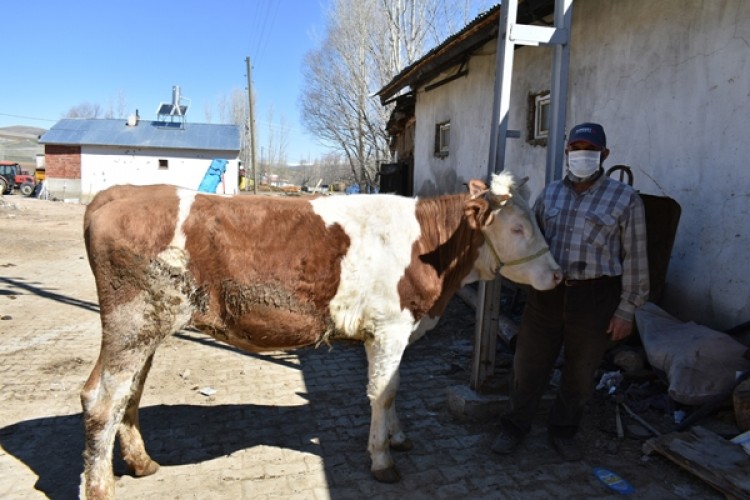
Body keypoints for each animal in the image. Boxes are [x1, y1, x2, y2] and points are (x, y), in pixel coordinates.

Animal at [82, 172, 564, 496]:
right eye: (518, 227)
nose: (559, 275)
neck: (429, 251)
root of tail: (120, 192)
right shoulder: (389, 328)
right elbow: (384, 392)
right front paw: (382, 459)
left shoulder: (393, 333)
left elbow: (394, 387)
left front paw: (398, 437)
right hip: (132, 322)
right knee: (102, 400)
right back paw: (100, 487)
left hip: (147, 327)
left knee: (127, 393)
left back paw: (142, 463)